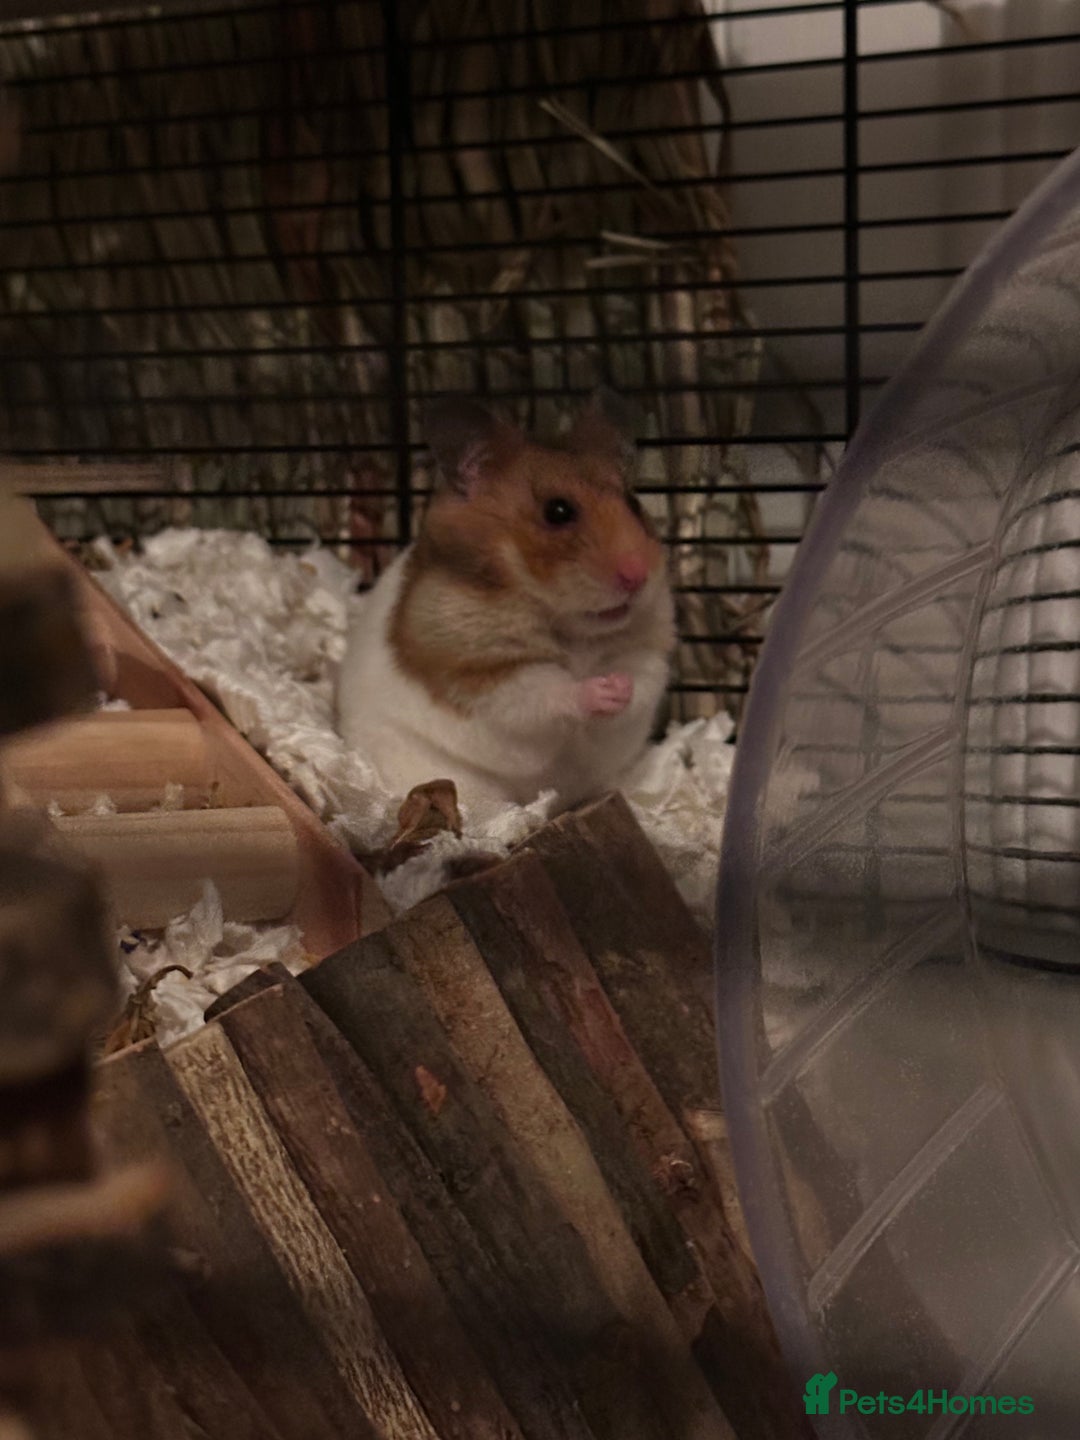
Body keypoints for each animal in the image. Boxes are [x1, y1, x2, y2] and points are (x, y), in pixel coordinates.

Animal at [337, 389, 675, 820]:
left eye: (633, 503)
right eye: (558, 511)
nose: (637, 575)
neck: (570, 628)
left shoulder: (645, 654)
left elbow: (639, 682)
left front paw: (618, 685)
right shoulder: (481, 676)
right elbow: (546, 692)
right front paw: (600, 689)